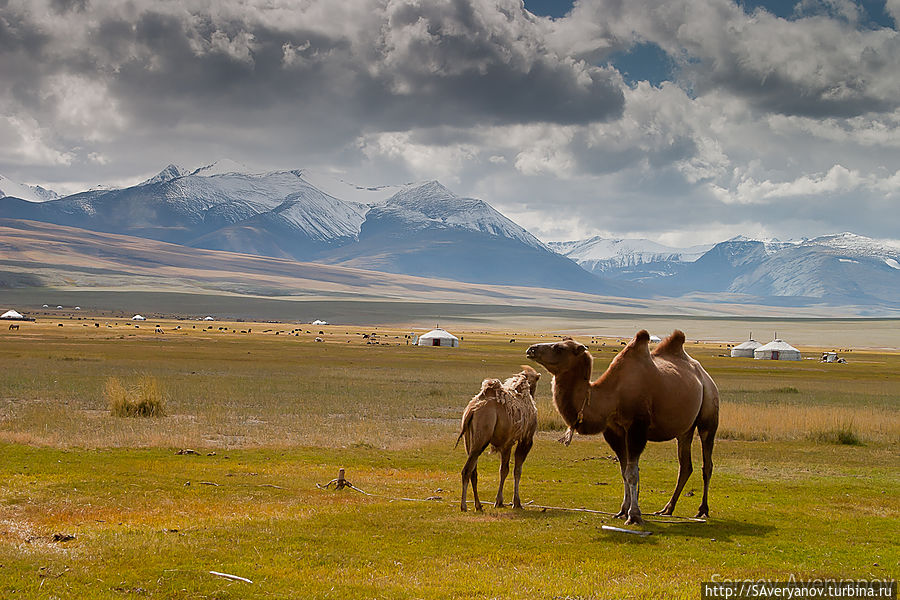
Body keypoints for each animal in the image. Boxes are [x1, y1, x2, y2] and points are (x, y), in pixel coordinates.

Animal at [458, 366, 540, 510]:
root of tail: (471, 410)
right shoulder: (524, 440)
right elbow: (513, 470)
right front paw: (513, 502)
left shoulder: (505, 442)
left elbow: (503, 469)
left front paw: (501, 501)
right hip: (482, 436)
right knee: (467, 470)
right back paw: (464, 505)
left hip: (468, 439)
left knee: (473, 471)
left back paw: (478, 505)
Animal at [524, 330, 720, 524]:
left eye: (559, 348)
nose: (531, 349)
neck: (612, 395)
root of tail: (704, 375)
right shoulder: (614, 430)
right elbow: (624, 471)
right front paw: (623, 511)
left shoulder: (637, 427)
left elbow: (632, 472)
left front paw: (634, 515)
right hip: (685, 429)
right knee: (685, 465)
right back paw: (667, 509)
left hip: (709, 412)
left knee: (707, 462)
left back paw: (703, 509)